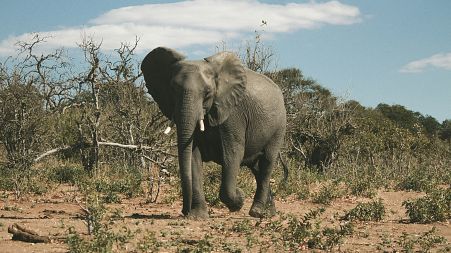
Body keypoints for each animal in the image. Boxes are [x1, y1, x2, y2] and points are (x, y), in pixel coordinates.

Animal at [141, 48, 286, 219]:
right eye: (173, 90)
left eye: (208, 92)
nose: (184, 211)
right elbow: (193, 156)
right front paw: (197, 217)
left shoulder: (233, 114)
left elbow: (232, 154)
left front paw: (239, 200)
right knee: (256, 168)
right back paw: (269, 213)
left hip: (279, 127)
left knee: (267, 163)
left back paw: (257, 212)